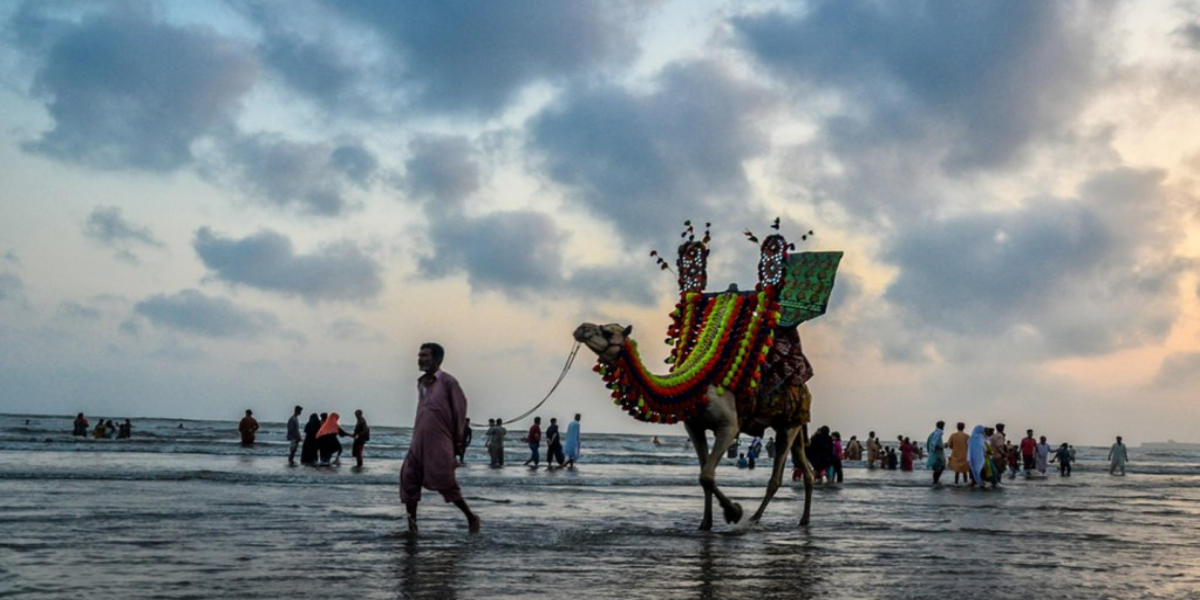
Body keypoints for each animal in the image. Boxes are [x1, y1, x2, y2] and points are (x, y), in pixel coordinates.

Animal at [573, 222, 844, 530]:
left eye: (608, 331)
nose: (581, 328)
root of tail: (805, 388)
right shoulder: (694, 426)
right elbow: (703, 476)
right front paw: (706, 522)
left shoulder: (729, 425)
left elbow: (707, 475)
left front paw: (734, 512)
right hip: (793, 424)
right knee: (805, 469)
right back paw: (803, 520)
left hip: (789, 424)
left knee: (776, 477)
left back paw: (754, 518)